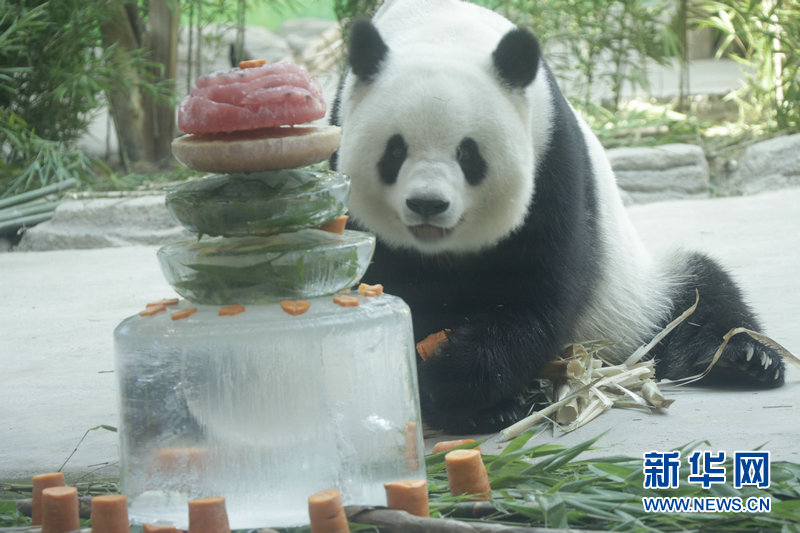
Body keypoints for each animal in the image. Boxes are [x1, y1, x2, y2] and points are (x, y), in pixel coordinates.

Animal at [330, 0, 786, 434]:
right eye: (395, 151)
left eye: (468, 154)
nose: (428, 204)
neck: (442, 31)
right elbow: (391, 282)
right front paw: (452, 391)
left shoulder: (552, 156)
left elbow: (536, 290)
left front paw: (451, 380)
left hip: (639, 293)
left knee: (699, 294)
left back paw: (745, 358)